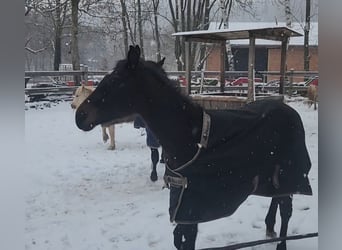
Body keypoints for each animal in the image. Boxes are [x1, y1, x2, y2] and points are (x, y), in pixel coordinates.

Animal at [75, 45, 312, 250]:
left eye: (115, 80)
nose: (80, 116)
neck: (191, 138)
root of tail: (289, 110)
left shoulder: (191, 207)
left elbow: (187, 240)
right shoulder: (181, 203)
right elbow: (179, 240)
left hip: (290, 172)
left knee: (286, 209)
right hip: (272, 176)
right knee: (277, 198)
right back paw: (269, 228)